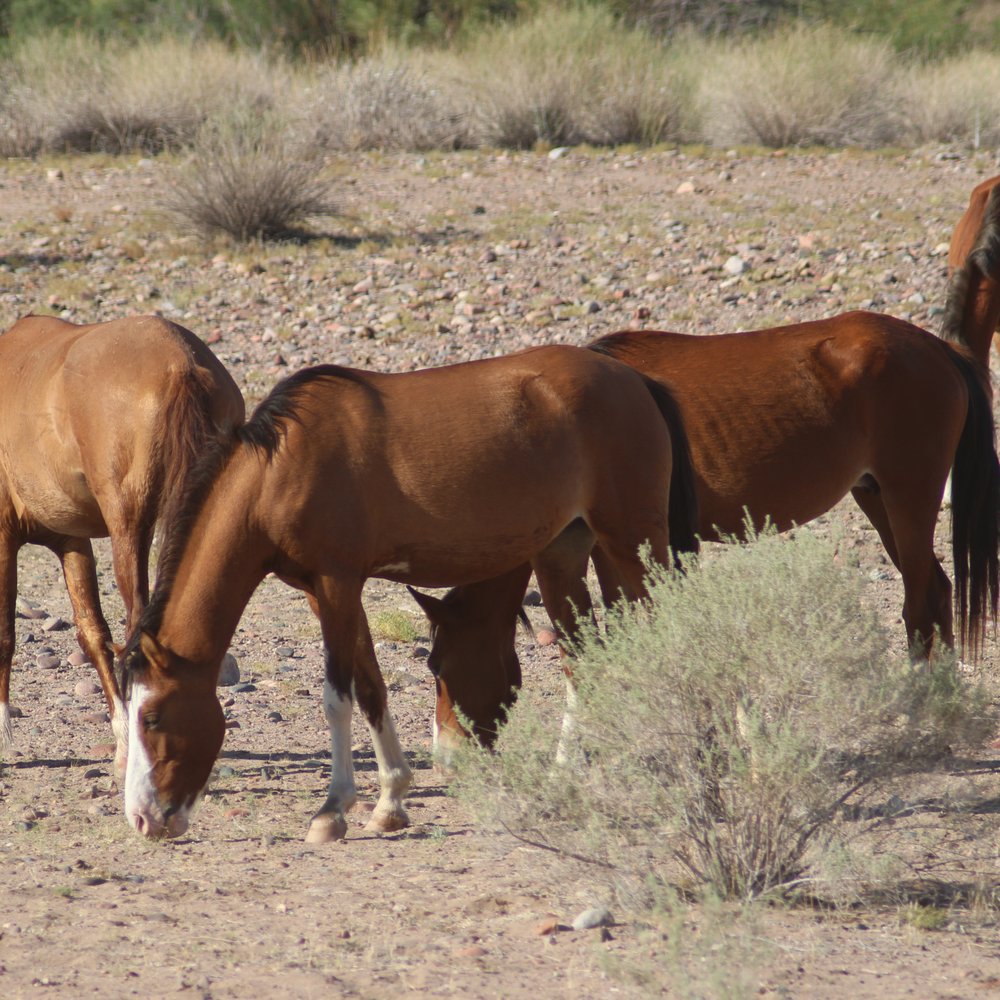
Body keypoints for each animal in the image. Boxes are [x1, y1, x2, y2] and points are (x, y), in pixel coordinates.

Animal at [0, 315, 245, 774]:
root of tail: (181, 361)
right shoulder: (73, 542)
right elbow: (92, 633)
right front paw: (121, 741)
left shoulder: (5, 537)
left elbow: (5, 632)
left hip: (129, 529)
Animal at [116, 344, 698, 842]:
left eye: (152, 717)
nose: (143, 819)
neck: (281, 471)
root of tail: (636, 382)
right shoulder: (324, 590)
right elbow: (371, 687)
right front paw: (390, 803)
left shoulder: (337, 582)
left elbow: (337, 697)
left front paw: (332, 811)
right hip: (562, 555)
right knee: (582, 661)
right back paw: (562, 778)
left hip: (634, 544)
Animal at [413, 218, 1000, 752]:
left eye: (439, 665)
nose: (448, 757)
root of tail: (939, 350)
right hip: (875, 496)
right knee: (937, 591)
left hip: (909, 495)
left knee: (920, 603)